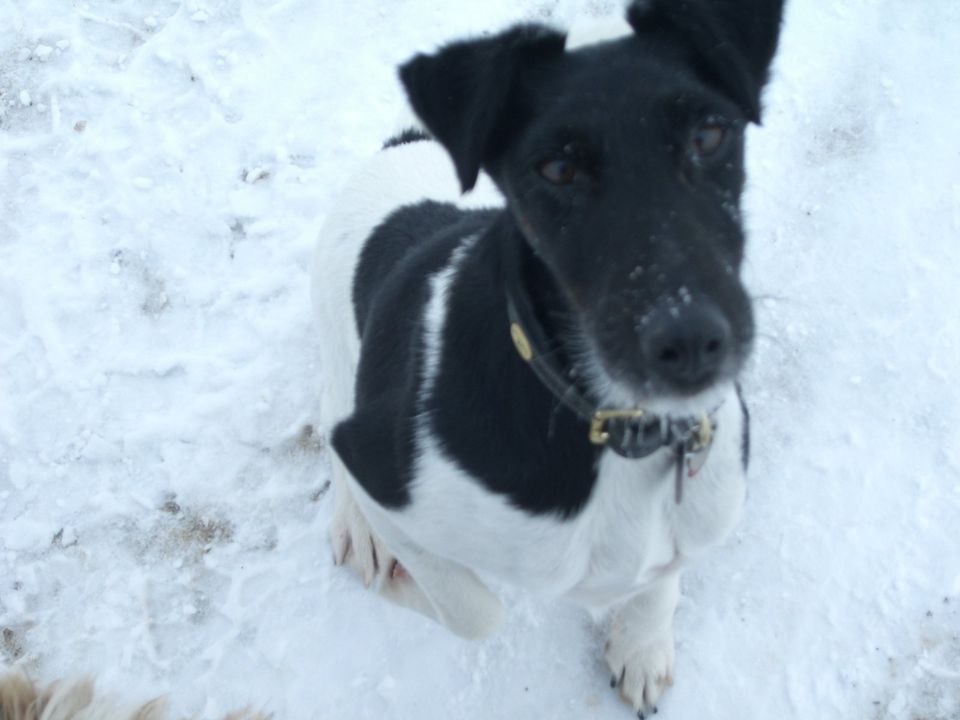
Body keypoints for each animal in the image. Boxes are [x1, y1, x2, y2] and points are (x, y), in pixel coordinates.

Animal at [312, 2, 784, 716]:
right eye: (556, 169)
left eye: (709, 134)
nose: (691, 340)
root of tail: (402, 146)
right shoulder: (381, 465)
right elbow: (476, 612)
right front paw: (396, 578)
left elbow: (665, 574)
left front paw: (641, 644)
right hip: (340, 359)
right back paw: (356, 527)